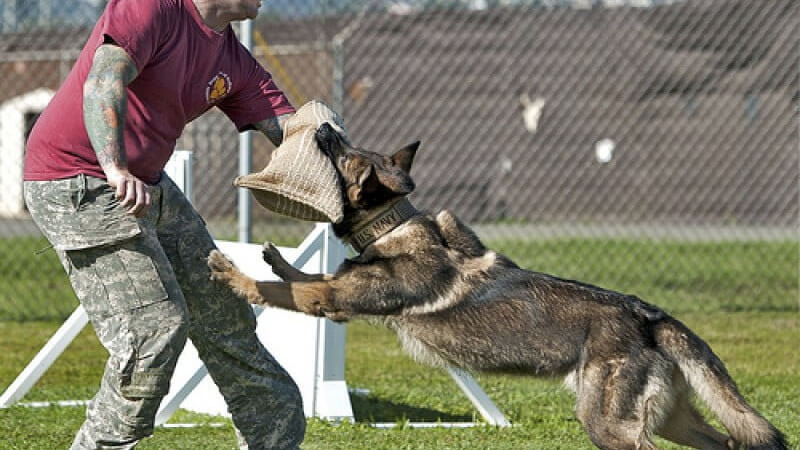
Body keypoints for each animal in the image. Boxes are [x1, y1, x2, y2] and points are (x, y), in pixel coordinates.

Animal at [208, 124, 788, 450]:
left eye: (346, 155)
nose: (326, 126)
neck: (393, 226)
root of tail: (650, 316)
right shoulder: (337, 293)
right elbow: (306, 275)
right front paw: (275, 258)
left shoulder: (333, 302)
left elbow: (284, 291)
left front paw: (236, 274)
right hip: (672, 420)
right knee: (727, 440)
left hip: (610, 426)